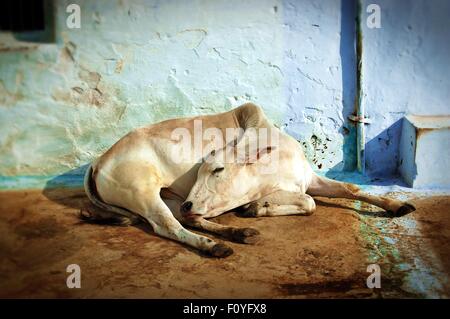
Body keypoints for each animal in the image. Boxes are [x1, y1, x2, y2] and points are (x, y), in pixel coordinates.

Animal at [83, 104, 414, 258]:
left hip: (169, 198)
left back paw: (239, 233)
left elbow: (350, 188)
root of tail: (100, 160)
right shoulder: (287, 190)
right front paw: (256, 207)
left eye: (217, 170)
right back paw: (213, 246)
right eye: (201, 169)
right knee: (170, 226)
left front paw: (395, 205)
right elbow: (309, 203)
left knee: (190, 220)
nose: (189, 202)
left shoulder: (309, 179)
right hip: (146, 193)